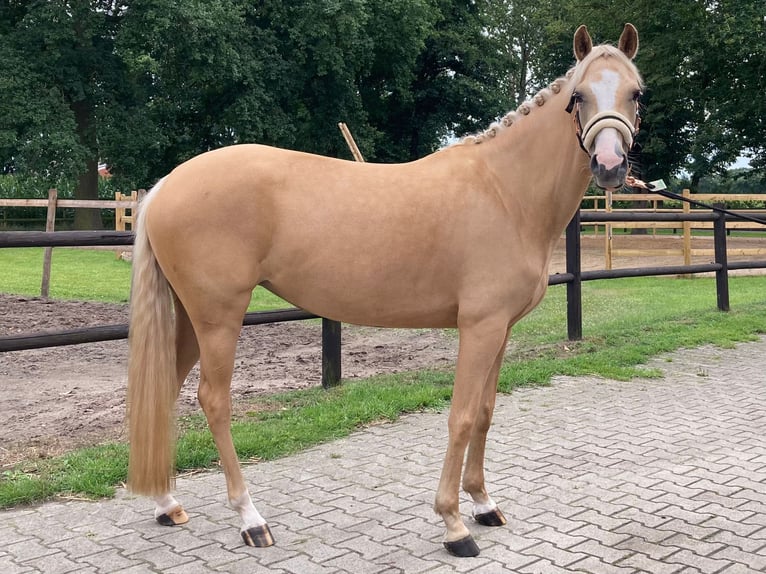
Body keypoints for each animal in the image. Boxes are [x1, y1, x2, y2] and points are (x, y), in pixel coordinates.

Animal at [127, 24, 642, 557]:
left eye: (636, 93)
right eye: (579, 96)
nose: (609, 164)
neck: (504, 191)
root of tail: (166, 185)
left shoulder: (501, 330)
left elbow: (483, 412)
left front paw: (483, 504)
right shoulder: (479, 328)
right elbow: (460, 417)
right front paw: (453, 524)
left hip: (190, 319)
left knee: (165, 391)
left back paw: (167, 504)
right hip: (219, 318)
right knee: (214, 400)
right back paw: (251, 519)